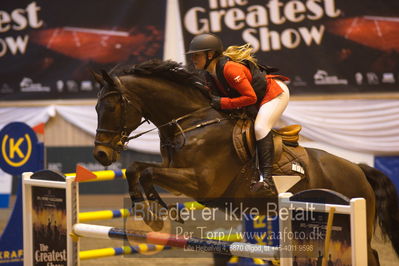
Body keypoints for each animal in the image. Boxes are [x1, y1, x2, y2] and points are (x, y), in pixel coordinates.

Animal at [93, 58, 399, 264]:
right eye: (96, 107)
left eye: (112, 107)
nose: (101, 155)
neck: (192, 122)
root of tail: (358, 169)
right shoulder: (176, 176)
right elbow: (138, 169)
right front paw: (149, 211)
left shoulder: (201, 182)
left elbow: (144, 172)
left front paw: (154, 215)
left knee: (369, 253)